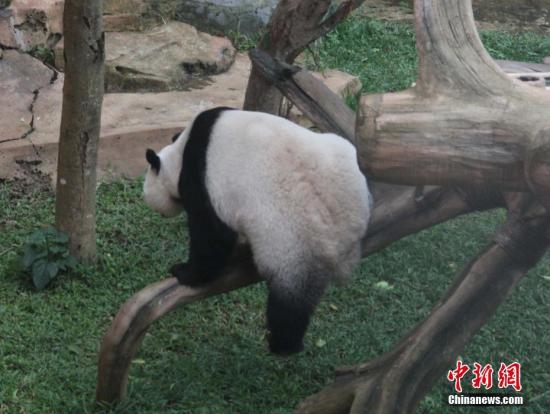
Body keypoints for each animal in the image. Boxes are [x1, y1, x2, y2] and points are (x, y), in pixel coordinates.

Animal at [144, 107, 374, 356]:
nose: (159, 212)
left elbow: (211, 235)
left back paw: (283, 344)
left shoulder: (200, 178)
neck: (180, 153)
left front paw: (184, 272)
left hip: (289, 237)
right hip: (343, 159)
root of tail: (341, 232)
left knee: (289, 300)